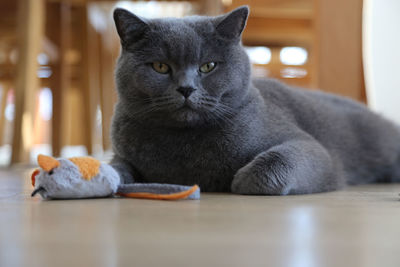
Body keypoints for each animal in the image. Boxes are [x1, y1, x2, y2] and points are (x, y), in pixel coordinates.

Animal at [109, 5, 400, 195]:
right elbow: (115, 167)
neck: (183, 144)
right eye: (160, 67)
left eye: (208, 66)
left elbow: (267, 166)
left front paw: (237, 181)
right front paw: (110, 177)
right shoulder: (121, 153)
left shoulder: (310, 147)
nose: (186, 89)